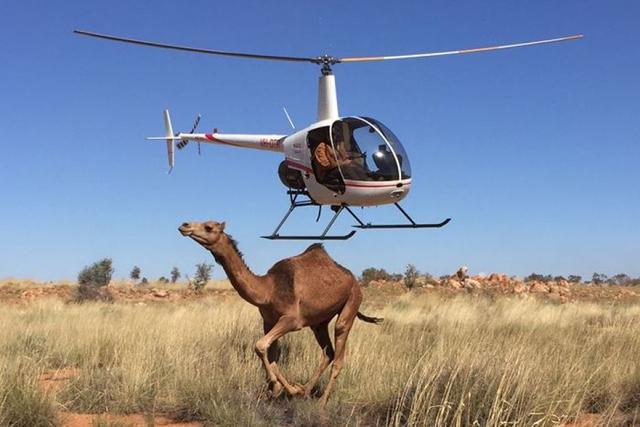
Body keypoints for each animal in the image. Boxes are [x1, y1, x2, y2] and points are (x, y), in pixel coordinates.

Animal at [178, 222, 382, 406]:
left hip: (352, 301)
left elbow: (260, 346)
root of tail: (354, 280)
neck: (268, 290)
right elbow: (270, 354)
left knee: (339, 350)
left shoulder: (291, 320)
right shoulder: (268, 321)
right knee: (328, 352)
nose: (184, 225)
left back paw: (322, 402)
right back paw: (305, 390)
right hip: (319, 321)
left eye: (209, 227)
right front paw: (284, 389)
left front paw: (279, 387)